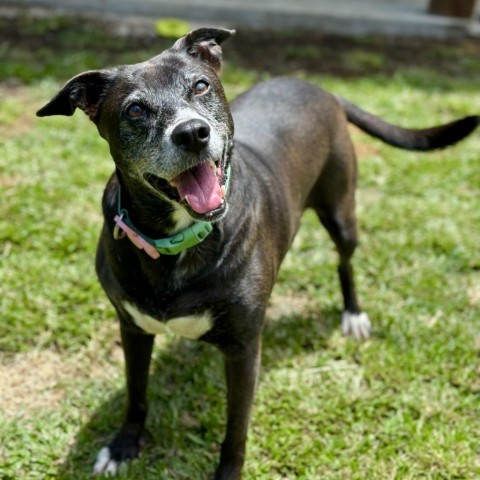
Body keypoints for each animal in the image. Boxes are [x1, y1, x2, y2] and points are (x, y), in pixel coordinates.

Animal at [35, 28, 478, 478]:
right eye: (136, 110)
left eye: (201, 86)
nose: (192, 133)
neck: (179, 238)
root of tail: (319, 87)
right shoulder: (133, 328)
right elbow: (135, 393)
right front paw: (123, 446)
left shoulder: (245, 349)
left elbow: (236, 427)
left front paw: (227, 472)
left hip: (341, 213)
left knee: (346, 262)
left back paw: (353, 315)